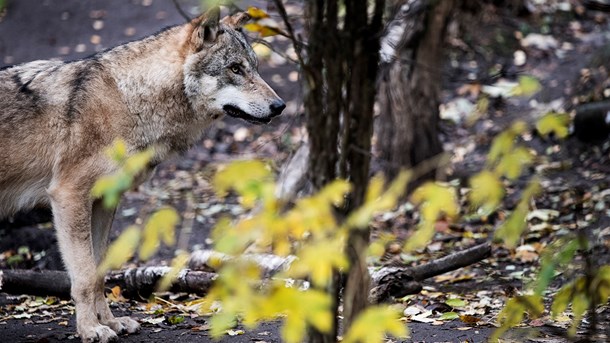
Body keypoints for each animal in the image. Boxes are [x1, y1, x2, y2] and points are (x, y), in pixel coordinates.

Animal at [0, 8, 282, 343]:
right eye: (235, 69)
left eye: (255, 68)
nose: (280, 106)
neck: (128, 100)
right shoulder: (69, 196)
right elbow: (84, 276)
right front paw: (90, 329)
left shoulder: (104, 201)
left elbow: (99, 272)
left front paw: (111, 323)